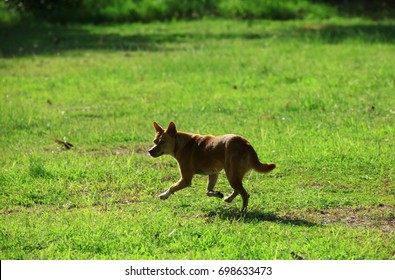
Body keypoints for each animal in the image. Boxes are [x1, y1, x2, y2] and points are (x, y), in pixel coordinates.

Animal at [148, 121, 276, 211]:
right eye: (154, 141)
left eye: (162, 142)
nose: (149, 151)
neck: (180, 143)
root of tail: (246, 144)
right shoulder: (213, 173)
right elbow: (208, 191)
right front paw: (217, 194)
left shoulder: (186, 179)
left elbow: (172, 187)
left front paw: (164, 195)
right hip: (233, 175)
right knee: (238, 190)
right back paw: (228, 199)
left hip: (231, 175)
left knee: (245, 194)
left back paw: (242, 212)